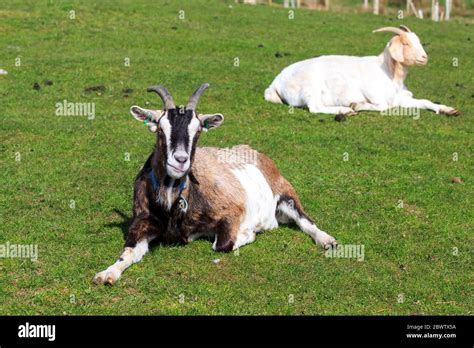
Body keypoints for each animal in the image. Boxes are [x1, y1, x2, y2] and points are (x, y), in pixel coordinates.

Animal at [93, 85, 336, 286]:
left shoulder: (232, 211)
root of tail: (255, 152)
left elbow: (223, 244)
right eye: (161, 130)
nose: (180, 160)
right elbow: (128, 252)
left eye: (198, 131)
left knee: (305, 220)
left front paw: (249, 232)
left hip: (285, 192)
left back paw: (327, 241)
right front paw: (107, 273)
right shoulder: (142, 223)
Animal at [264, 25, 458, 117]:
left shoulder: (402, 98)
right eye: (406, 43)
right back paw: (344, 111)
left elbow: (425, 101)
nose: (425, 57)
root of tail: (276, 81)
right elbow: (384, 106)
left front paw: (448, 109)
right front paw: (356, 105)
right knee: (315, 107)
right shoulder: (376, 96)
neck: (389, 73)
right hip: (310, 86)